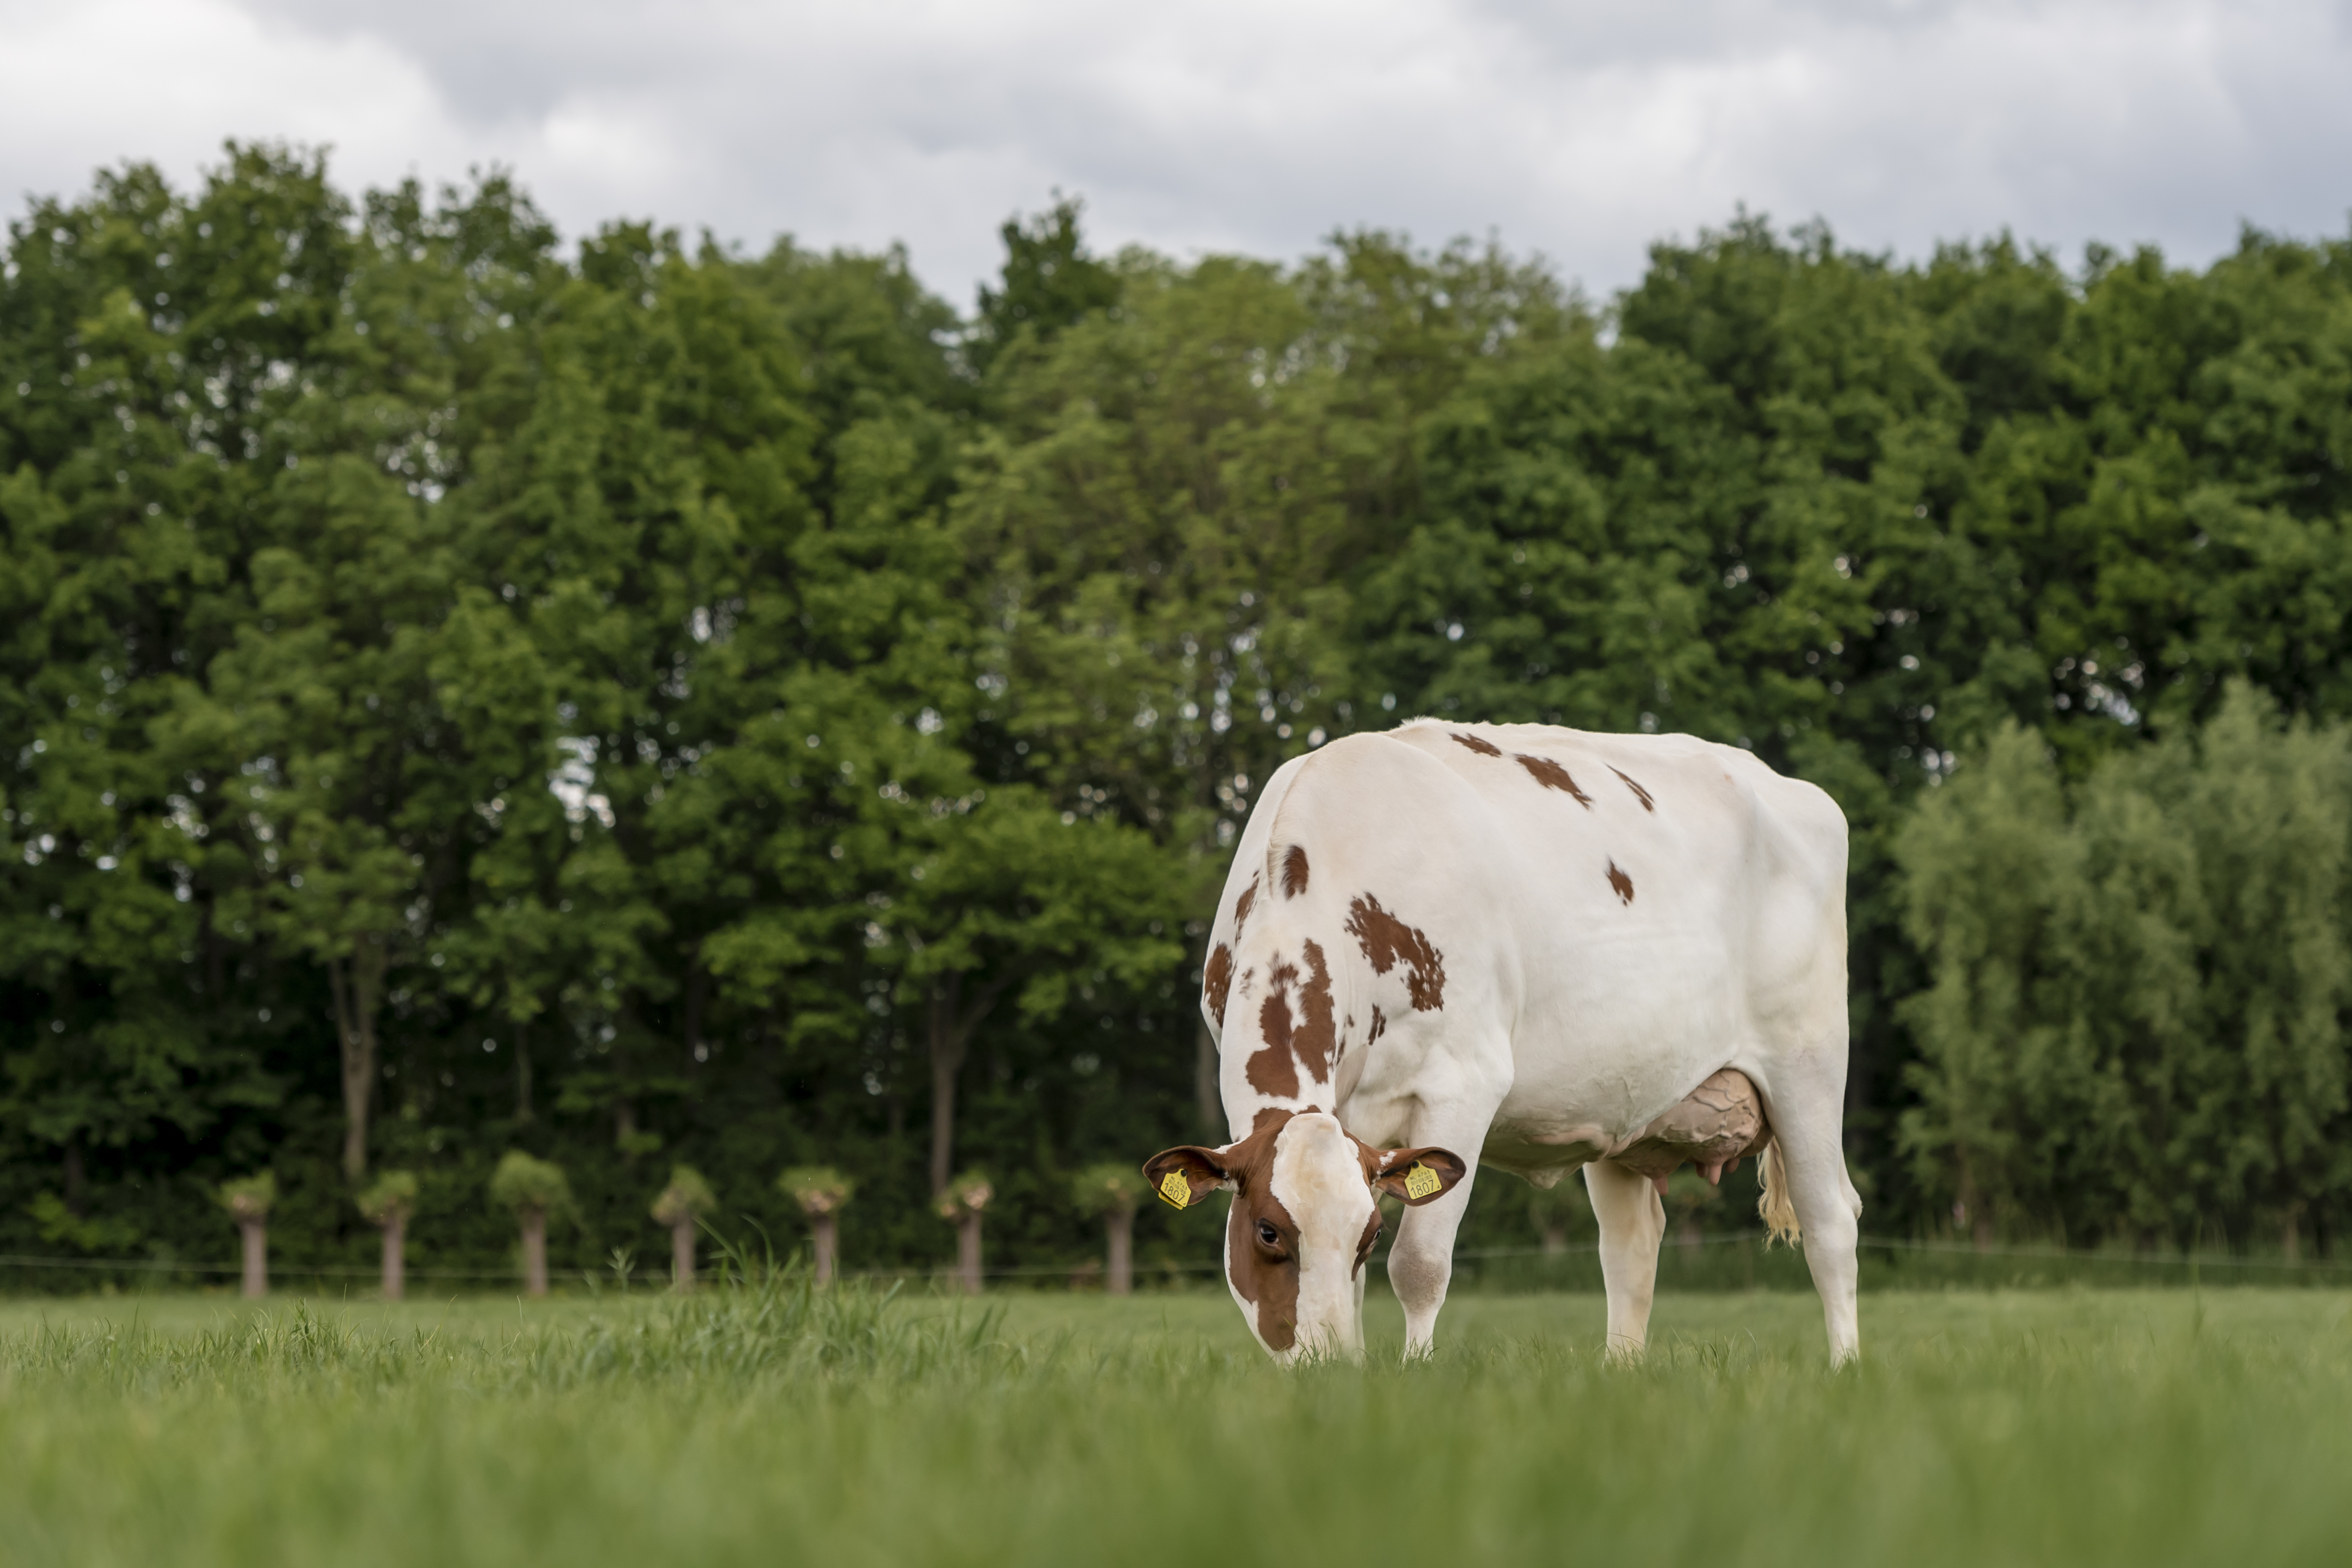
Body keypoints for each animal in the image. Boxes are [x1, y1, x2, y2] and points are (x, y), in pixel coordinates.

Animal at [1148, 719, 1863, 1363]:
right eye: (1267, 1231)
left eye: (1371, 1233)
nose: (1326, 1363)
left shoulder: (1462, 1083)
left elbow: (1420, 1264)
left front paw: (1411, 1378)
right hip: (1624, 1094)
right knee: (1631, 1248)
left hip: (1809, 1061)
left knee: (1831, 1223)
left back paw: (1845, 1369)